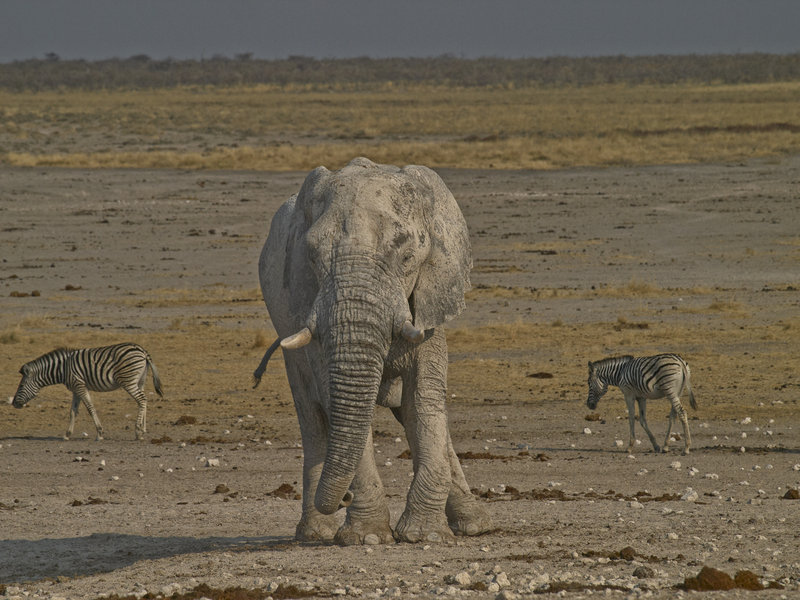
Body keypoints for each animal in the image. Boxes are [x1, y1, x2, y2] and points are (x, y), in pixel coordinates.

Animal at [12, 342, 163, 440]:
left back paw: (137, 431)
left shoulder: (80, 385)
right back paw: (143, 430)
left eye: (21, 386)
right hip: (140, 380)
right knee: (143, 400)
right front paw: (67, 434)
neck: (63, 369)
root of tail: (142, 350)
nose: (13, 404)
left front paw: (100, 433)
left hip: (128, 381)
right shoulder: (75, 389)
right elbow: (73, 411)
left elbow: (90, 408)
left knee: (141, 399)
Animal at [256, 157, 494, 548]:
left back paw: (476, 526)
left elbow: (423, 400)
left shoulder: (430, 300)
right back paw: (316, 533)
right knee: (312, 416)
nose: (344, 497)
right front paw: (367, 537)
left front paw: (424, 536)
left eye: (408, 257)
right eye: (312, 257)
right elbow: (338, 403)